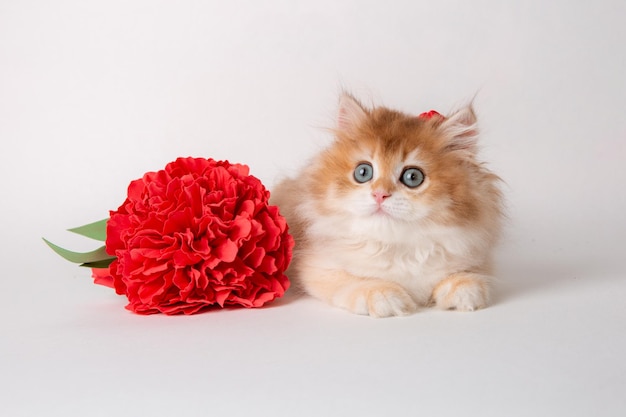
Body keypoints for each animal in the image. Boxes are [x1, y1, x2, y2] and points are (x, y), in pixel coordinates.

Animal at [270, 93, 500, 316]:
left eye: (413, 177)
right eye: (363, 172)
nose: (380, 194)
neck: (395, 247)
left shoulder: (471, 255)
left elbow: (466, 276)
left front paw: (465, 290)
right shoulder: (317, 266)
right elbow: (355, 281)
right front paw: (384, 296)